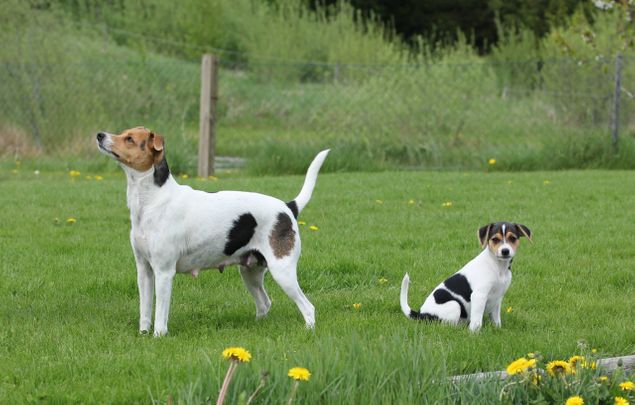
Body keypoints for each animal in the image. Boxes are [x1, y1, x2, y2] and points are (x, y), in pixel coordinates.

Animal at [402, 221, 532, 332]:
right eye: (495, 239)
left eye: (512, 238)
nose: (505, 251)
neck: (498, 266)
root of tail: (420, 314)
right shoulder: (479, 296)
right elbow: (477, 320)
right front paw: (474, 333)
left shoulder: (498, 298)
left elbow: (496, 318)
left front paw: (497, 329)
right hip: (454, 305)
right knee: (446, 325)